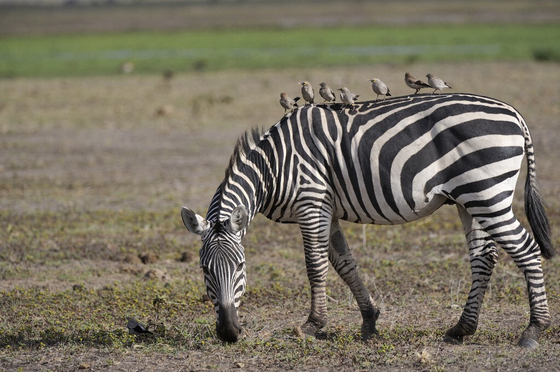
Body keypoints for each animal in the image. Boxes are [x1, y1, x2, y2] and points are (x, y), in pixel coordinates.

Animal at [182, 92, 552, 346]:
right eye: (204, 270)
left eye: (241, 267)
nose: (229, 332)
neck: (273, 167)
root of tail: (513, 113)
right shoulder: (326, 208)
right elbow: (344, 263)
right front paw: (370, 320)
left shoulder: (311, 202)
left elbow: (314, 265)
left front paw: (313, 324)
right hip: (470, 199)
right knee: (484, 258)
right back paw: (462, 328)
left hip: (488, 193)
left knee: (526, 248)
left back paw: (534, 328)